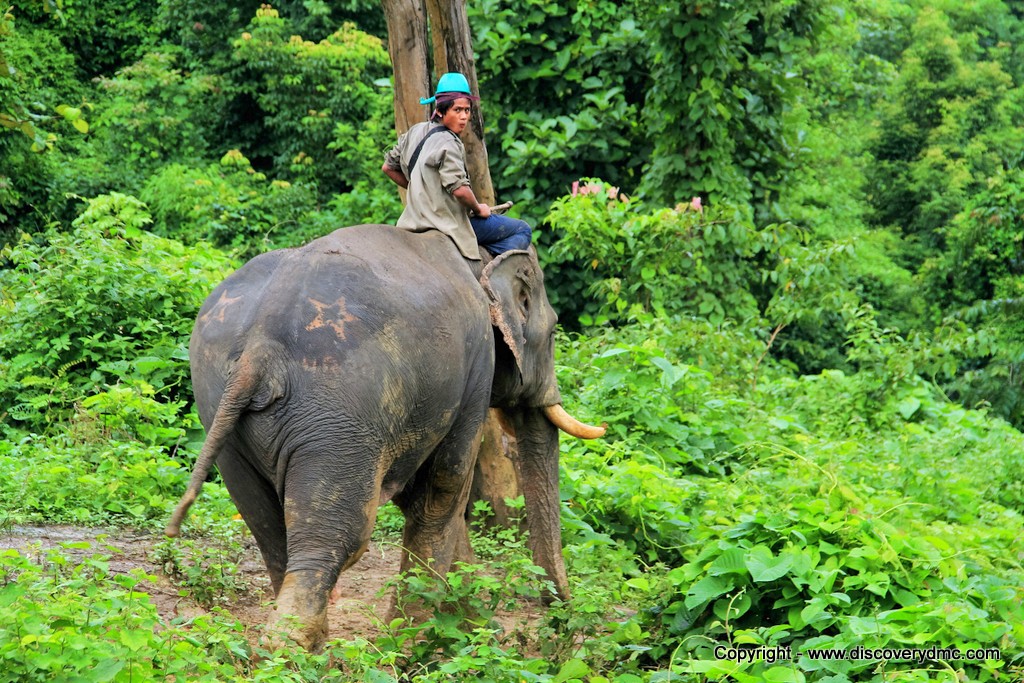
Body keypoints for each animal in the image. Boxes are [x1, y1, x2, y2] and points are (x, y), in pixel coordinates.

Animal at [165, 224, 605, 650]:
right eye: (554, 333)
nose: (556, 617)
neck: (478, 255)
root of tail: (259, 348)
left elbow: (418, 496)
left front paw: (472, 630)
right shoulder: (476, 367)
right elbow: (445, 484)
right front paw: (413, 642)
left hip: (222, 412)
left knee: (268, 527)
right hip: (339, 419)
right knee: (340, 535)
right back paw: (295, 650)